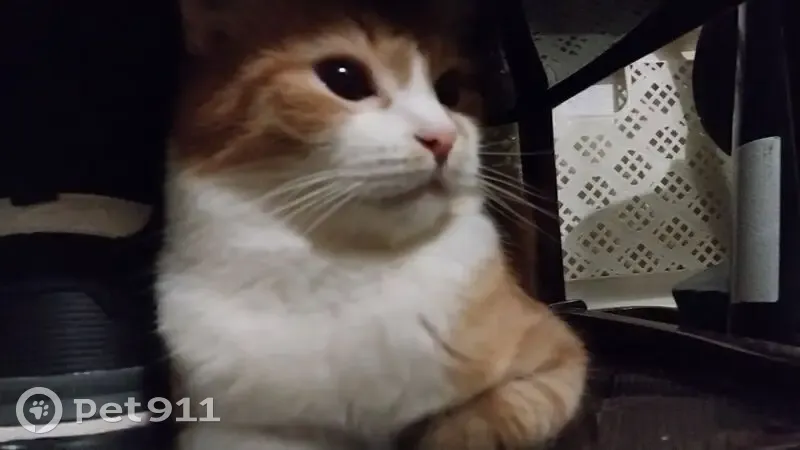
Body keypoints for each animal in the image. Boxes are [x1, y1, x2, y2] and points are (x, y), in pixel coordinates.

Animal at [156, 0, 588, 449]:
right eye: (343, 77)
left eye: (451, 91)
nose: (443, 138)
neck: (347, 267)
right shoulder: (227, 427)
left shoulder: (557, 357)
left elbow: (487, 418)